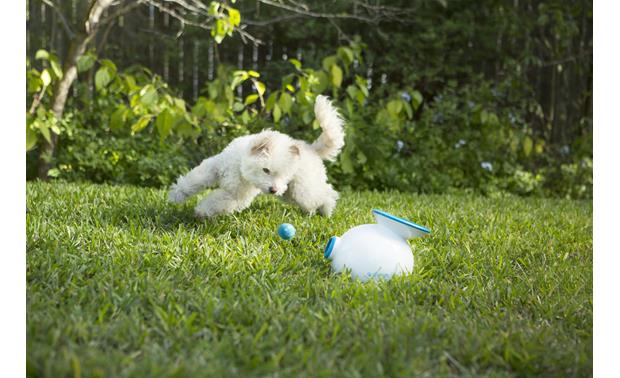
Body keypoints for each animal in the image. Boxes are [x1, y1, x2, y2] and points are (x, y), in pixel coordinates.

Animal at [167, 94, 346, 219]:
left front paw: (201, 211)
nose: (273, 190)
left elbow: (217, 201)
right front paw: (177, 194)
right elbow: (194, 180)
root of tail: (312, 149)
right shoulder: (214, 167)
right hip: (289, 194)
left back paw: (326, 210)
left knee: (325, 193)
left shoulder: (236, 196)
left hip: (301, 190)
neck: (239, 168)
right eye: (266, 170)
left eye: (283, 175)